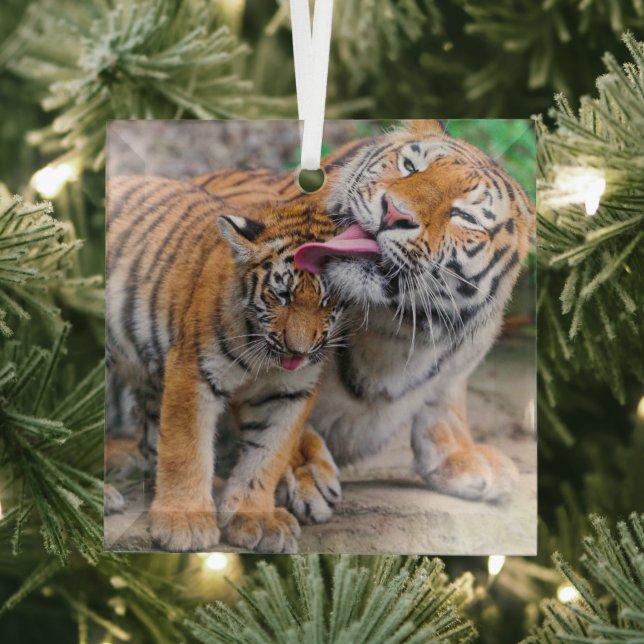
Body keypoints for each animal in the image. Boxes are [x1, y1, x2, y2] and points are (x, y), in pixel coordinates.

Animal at [106, 176, 346, 552]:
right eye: (282, 295)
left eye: (328, 300)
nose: (299, 351)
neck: (264, 356)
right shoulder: (194, 370)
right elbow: (186, 448)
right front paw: (185, 522)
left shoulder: (289, 393)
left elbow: (267, 454)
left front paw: (255, 518)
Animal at [193, 119, 535, 524]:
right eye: (409, 166)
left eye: (464, 216)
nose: (394, 212)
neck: (394, 327)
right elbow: (276, 411)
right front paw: (303, 472)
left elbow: (445, 400)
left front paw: (463, 456)